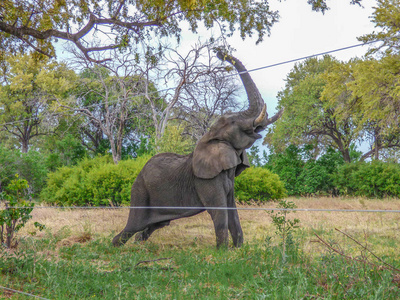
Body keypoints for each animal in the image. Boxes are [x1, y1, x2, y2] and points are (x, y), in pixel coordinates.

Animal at [111, 52, 282, 248]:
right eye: (233, 122)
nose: (219, 53)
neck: (210, 137)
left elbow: (233, 211)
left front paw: (238, 249)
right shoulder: (206, 180)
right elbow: (219, 212)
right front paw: (222, 251)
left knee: (154, 225)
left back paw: (137, 244)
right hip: (140, 192)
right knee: (133, 225)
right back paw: (113, 245)